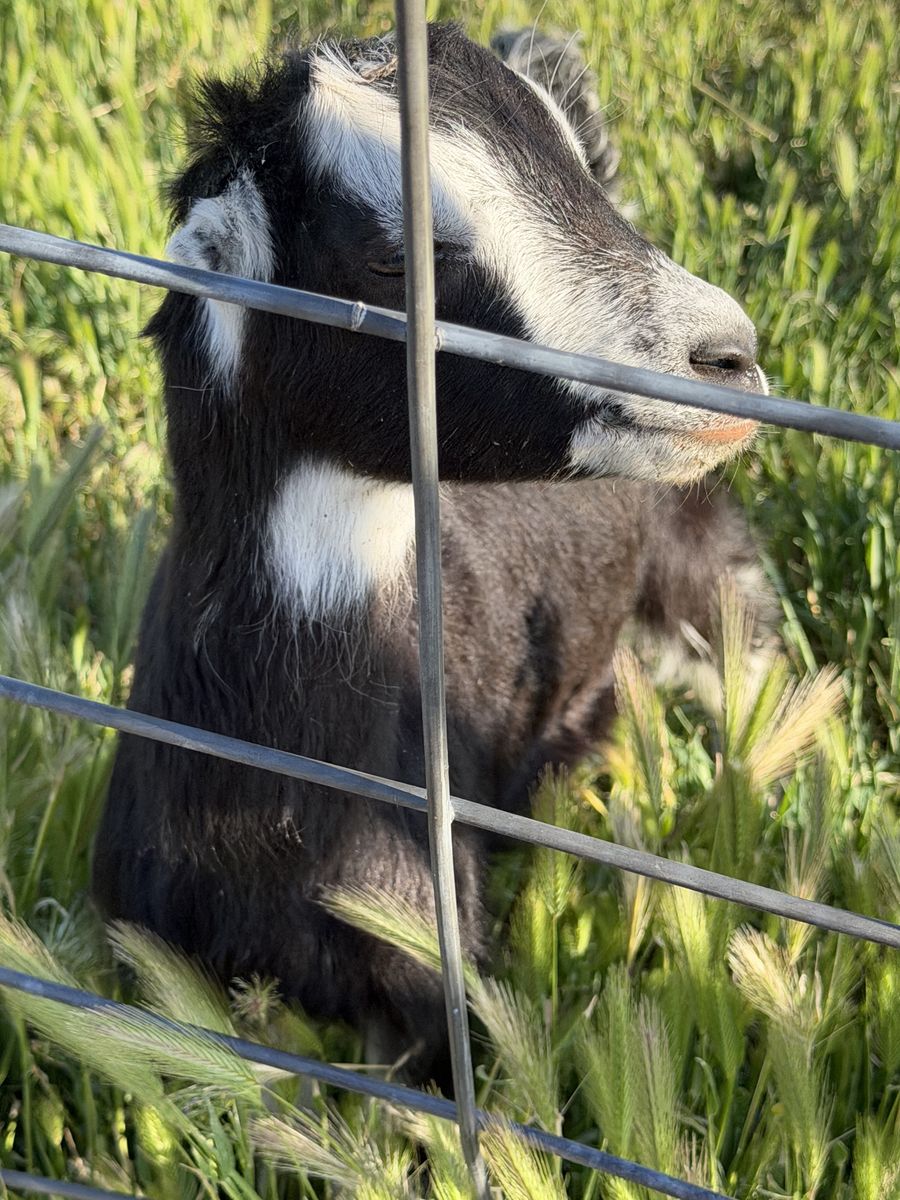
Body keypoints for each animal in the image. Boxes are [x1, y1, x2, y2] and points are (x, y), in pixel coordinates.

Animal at [93, 23, 772, 1085]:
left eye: (580, 178)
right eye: (392, 258)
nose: (727, 355)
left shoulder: (426, 974)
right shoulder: (142, 944)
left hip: (700, 562)